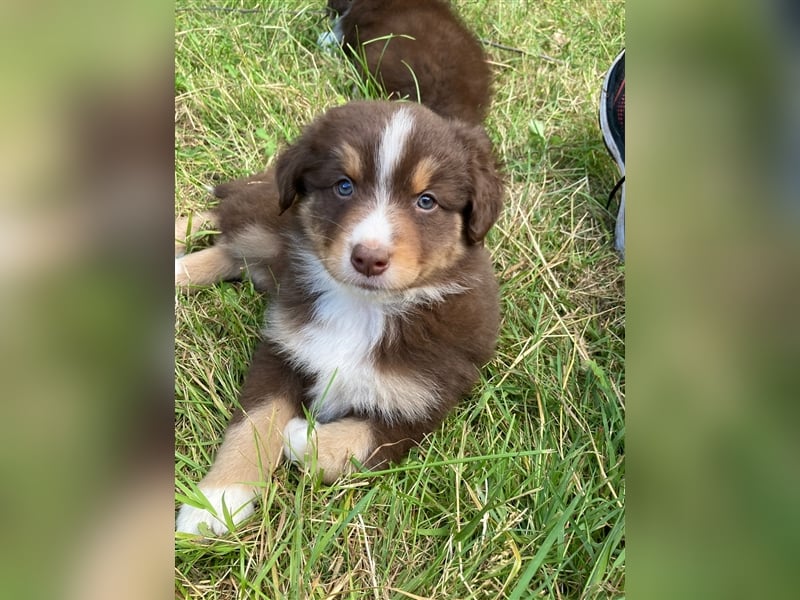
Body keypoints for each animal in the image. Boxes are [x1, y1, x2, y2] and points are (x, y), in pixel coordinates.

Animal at [175, 101, 504, 536]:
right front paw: (216, 501)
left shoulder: (424, 399)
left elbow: (359, 438)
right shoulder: (284, 347)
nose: (368, 258)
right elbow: (254, 423)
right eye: (344, 186)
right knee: (220, 216)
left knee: (230, 252)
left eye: (427, 201)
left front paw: (302, 437)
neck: (363, 309)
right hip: (271, 220)